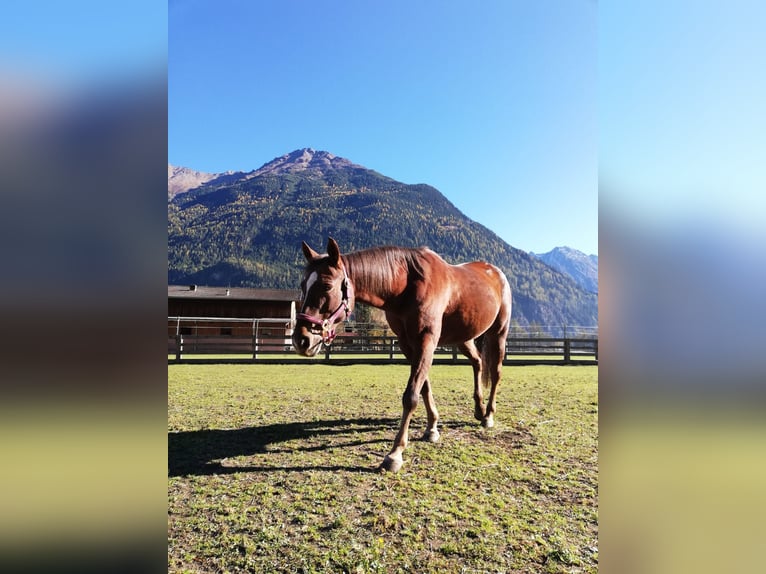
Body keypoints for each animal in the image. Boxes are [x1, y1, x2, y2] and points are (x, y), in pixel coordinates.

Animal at [294, 237, 516, 472]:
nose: (301, 340)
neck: (407, 285)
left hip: (498, 334)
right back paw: (479, 409)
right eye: (302, 286)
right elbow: (423, 387)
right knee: (478, 362)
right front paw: (432, 427)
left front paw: (395, 453)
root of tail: (496, 273)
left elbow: (411, 396)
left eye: (327, 285)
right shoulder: (407, 345)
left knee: (496, 372)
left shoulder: (426, 342)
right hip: (463, 338)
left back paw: (488, 415)